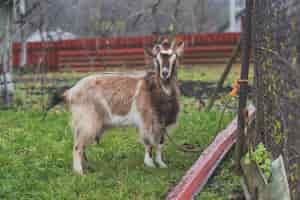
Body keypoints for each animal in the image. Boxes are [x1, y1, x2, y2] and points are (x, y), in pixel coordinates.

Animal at [49, 39, 183, 173]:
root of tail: (70, 92)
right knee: (78, 146)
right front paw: (150, 164)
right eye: (156, 59)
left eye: (174, 57)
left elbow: (160, 143)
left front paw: (162, 164)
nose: (164, 73)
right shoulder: (147, 121)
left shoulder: (163, 122)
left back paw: (88, 168)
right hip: (87, 120)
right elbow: (148, 143)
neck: (155, 90)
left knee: (82, 145)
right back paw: (80, 172)